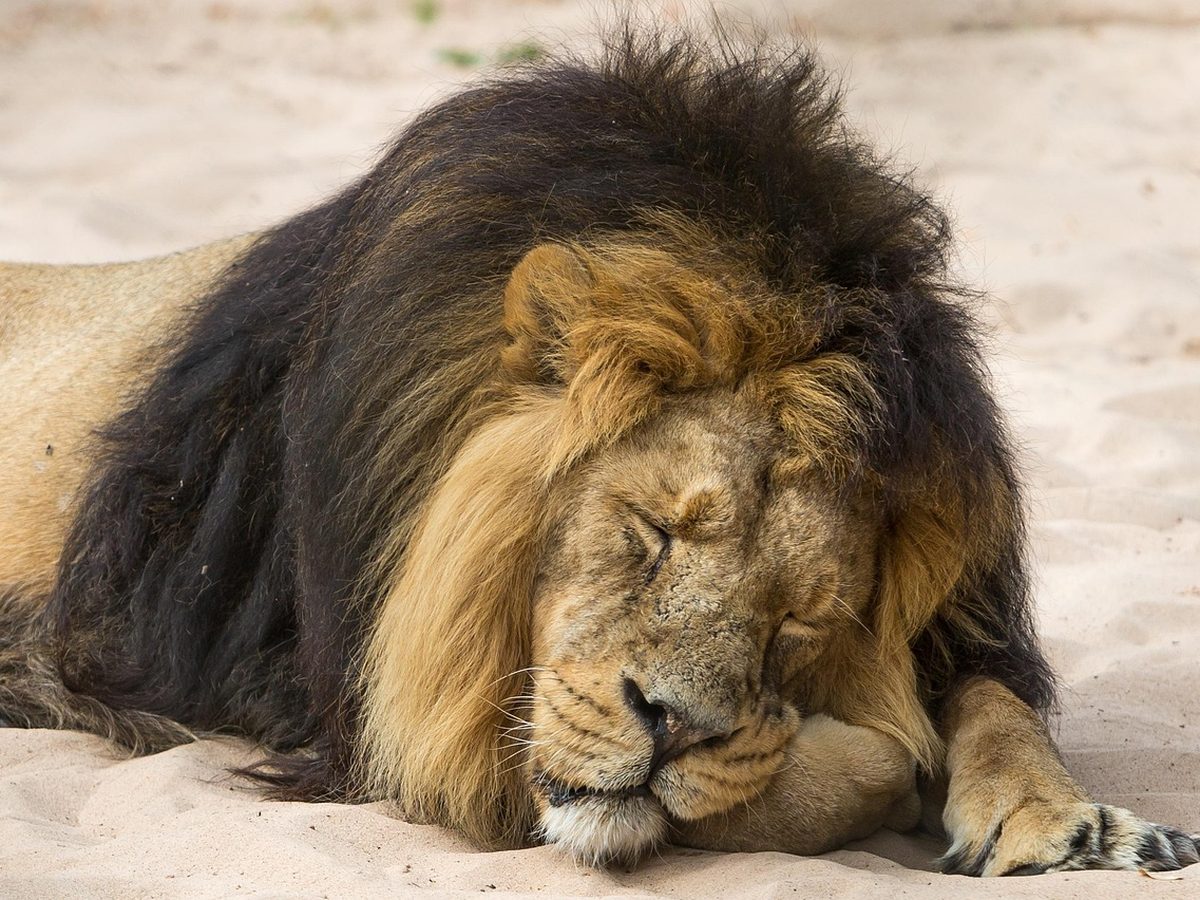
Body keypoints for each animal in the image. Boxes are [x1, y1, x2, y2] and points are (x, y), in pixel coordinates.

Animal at [1, 31, 1196, 876]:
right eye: (650, 533)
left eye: (798, 619)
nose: (672, 731)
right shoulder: (353, 713)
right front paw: (883, 763)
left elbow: (990, 704)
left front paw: (1069, 819)